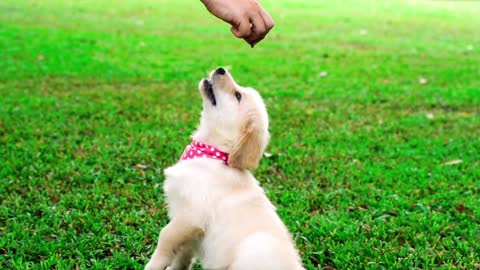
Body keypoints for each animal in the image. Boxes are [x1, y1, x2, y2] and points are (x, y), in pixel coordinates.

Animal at [145, 67, 304, 270]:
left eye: (237, 95)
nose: (221, 69)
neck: (213, 154)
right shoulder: (189, 229)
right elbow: (182, 257)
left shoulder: (190, 216)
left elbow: (164, 238)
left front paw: (152, 265)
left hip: (255, 247)